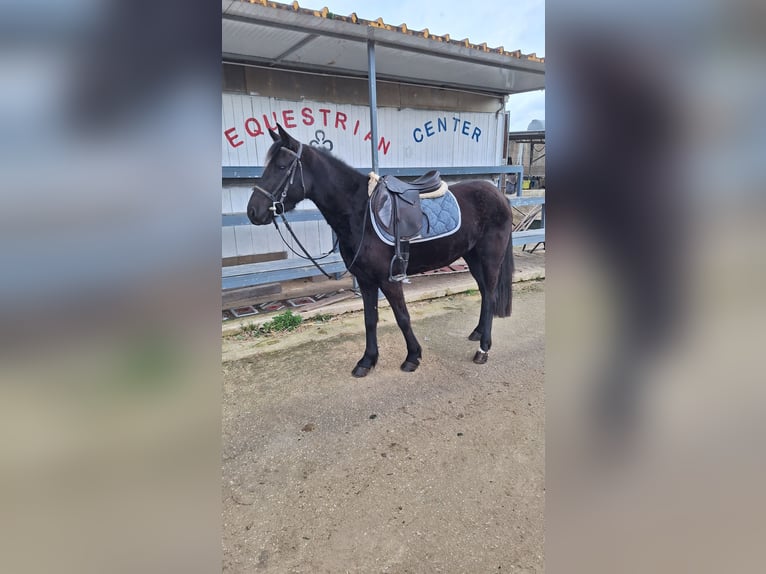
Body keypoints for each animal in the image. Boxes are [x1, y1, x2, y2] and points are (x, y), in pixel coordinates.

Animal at [247, 124, 515, 377]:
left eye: (282, 166)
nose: (253, 211)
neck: (359, 212)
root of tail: (499, 195)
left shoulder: (389, 280)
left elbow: (402, 317)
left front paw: (412, 357)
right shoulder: (366, 281)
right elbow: (370, 320)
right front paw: (367, 361)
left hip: (490, 259)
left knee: (490, 295)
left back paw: (483, 349)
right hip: (472, 258)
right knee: (484, 294)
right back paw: (477, 333)